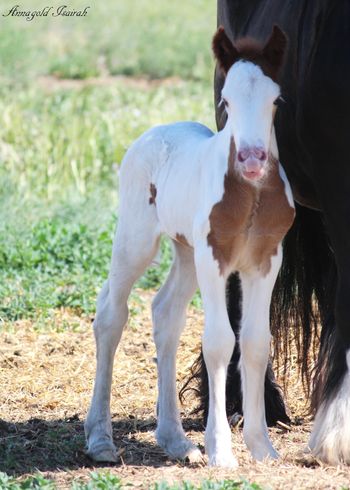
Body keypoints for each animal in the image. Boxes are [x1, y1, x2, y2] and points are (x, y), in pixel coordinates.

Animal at [85, 25, 296, 468]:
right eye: (226, 101)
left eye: (276, 100)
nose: (253, 160)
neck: (250, 193)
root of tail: (155, 130)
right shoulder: (214, 256)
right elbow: (219, 341)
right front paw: (222, 450)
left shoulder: (266, 259)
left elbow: (255, 342)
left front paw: (262, 447)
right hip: (137, 239)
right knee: (111, 312)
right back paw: (100, 439)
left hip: (185, 252)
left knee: (166, 313)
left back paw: (176, 441)